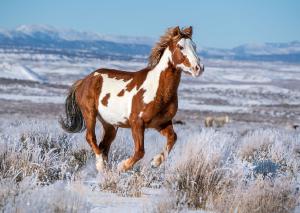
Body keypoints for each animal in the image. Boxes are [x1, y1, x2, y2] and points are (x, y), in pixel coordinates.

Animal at [59, 26, 204, 172]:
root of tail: (84, 80)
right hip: (90, 113)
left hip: (110, 124)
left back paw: (105, 168)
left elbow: (173, 138)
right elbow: (140, 151)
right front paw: (122, 166)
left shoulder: (161, 123)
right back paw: (100, 164)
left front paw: (155, 162)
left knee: (103, 145)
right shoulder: (137, 123)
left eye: (195, 46)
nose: (198, 68)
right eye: (180, 47)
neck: (158, 90)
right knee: (90, 137)